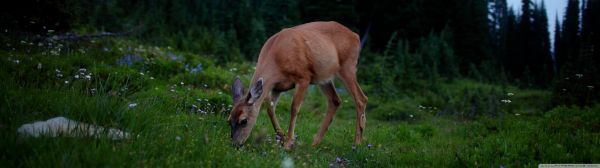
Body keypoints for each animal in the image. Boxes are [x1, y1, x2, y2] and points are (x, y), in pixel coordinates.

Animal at [227, 21, 366, 150]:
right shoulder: (276, 87)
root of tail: (356, 36)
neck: (277, 58)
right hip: (324, 77)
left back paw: (357, 143)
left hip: (348, 67)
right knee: (335, 100)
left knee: (361, 99)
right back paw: (315, 143)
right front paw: (282, 137)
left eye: (243, 121)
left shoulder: (304, 77)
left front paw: (289, 143)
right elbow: (270, 109)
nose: (235, 144)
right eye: (229, 120)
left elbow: (294, 108)